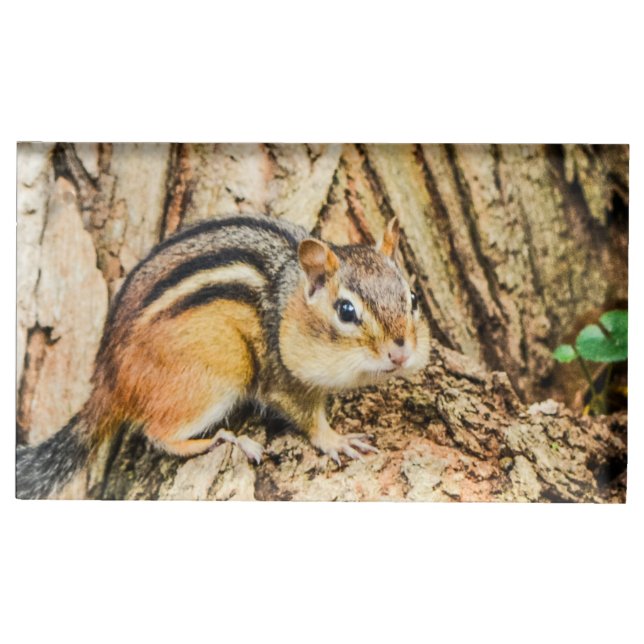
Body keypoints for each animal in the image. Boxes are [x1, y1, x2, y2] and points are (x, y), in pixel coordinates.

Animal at [16, 214, 430, 498]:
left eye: (412, 298)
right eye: (345, 311)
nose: (400, 352)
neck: (286, 303)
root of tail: (106, 375)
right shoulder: (280, 378)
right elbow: (305, 416)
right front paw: (336, 440)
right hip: (216, 376)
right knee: (157, 434)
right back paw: (223, 440)